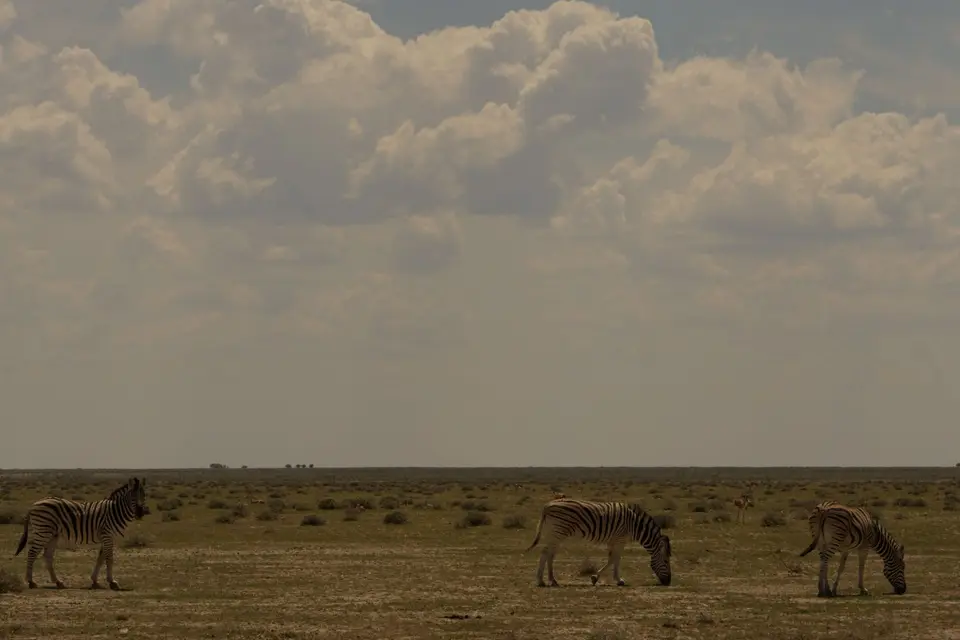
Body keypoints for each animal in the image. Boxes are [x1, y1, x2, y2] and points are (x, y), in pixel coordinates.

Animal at [14, 477, 148, 591]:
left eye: (144, 495)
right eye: (133, 497)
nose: (140, 513)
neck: (115, 511)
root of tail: (35, 504)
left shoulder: (106, 537)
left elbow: (100, 559)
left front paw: (95, 581)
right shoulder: (107, 535)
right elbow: (109, 558)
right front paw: (112, 582)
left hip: (52, 535)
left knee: (47, 556)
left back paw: (58, 582)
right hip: (43, 531)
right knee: (32, 553)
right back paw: (31, 582)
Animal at [525, 498, 672, 588]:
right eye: (666, 561)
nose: (668, 582)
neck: (634, 525)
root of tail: (547, 505)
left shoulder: (613, 540)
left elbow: (612, 559)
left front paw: (599, 577)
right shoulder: (620, 539)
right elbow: (615, 559)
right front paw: (616, 580)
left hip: (555, 534)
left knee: (549, 554)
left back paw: (550, 580)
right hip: (558, 532)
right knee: (546, 553)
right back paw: (542, 580)